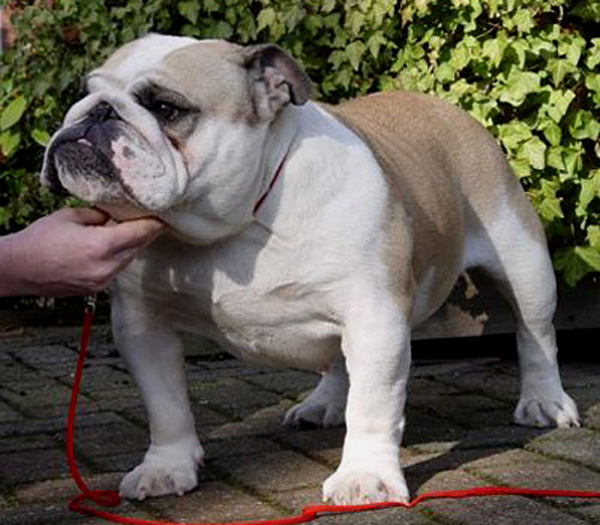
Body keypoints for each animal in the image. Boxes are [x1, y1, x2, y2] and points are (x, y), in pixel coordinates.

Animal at [41, 34, 579, 504]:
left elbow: (373, 404)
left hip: (524, 262)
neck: (233, 225)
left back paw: (545, 401)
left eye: (166, 108)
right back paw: (323, 403)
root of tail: (444, 109)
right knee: (338, 361)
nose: (94, 113)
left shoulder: (375, 317)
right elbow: (166, 405)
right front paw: (166, 468)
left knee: (536, 335)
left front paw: (365, 476)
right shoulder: (142, 326)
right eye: (84, 93)